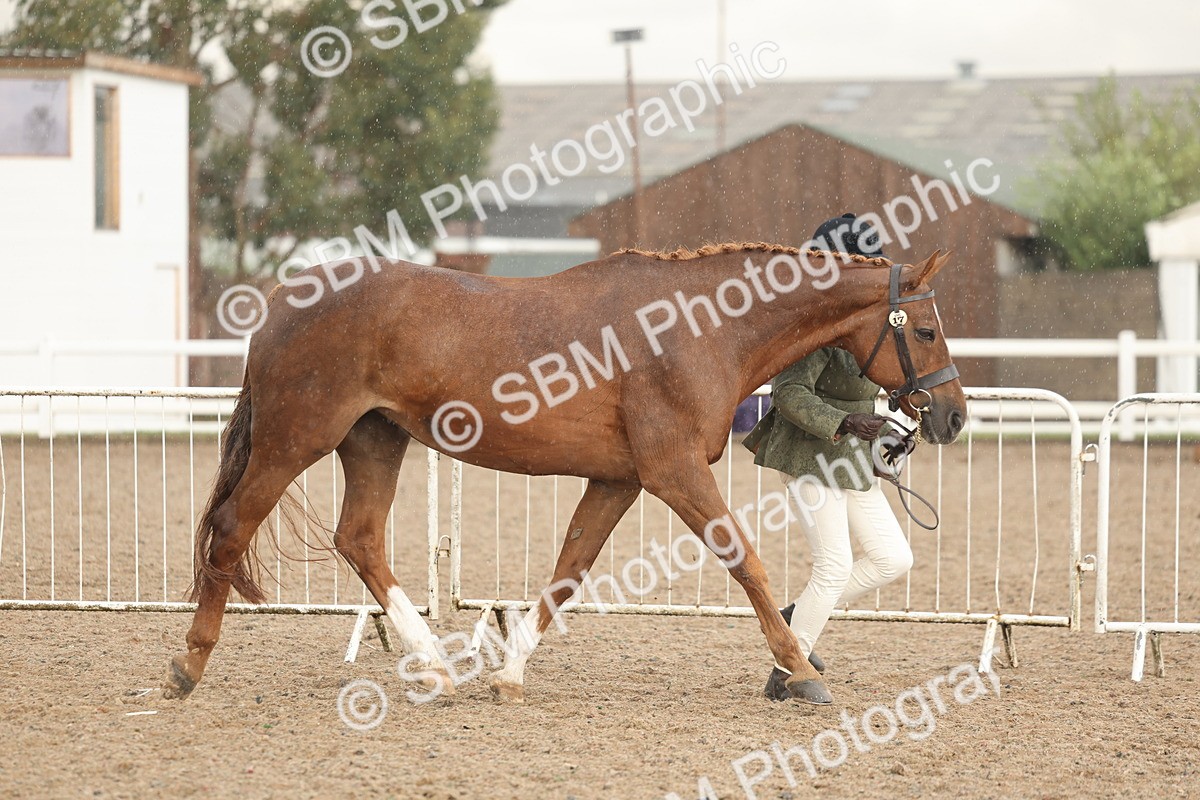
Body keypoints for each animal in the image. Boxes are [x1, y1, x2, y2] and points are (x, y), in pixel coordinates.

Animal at [162, 242, 965, 706]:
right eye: (926, 330)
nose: (953, 417)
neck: (701, 327)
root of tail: (281, 299)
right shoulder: (674, 472)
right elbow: (749, 565)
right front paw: (800, 668)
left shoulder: (620, 480)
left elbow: (568, 570)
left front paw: (510, 673)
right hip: (295, 439)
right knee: (231, 529)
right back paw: (188, 666)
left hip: (374, 442)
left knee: (359, 539)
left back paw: (436, 668)